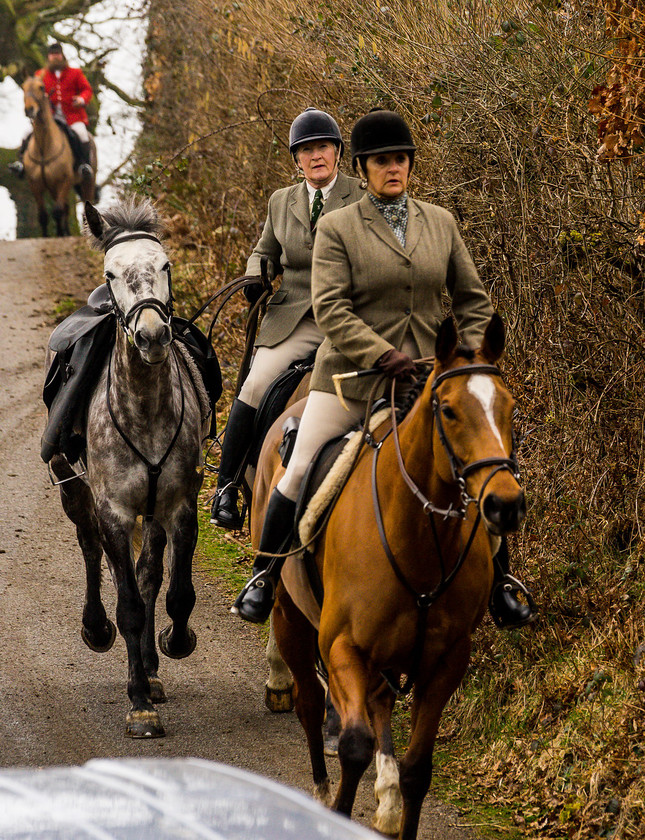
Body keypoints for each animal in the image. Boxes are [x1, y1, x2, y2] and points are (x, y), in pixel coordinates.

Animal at [21, 75, 96, 236]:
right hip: (54, 188)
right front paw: (46, 237)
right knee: (66, 209)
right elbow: (43, 215)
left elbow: (57, 211)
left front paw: (60, 234)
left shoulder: (64, 180)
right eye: (23, 87)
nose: (29, 109)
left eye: (41, 87)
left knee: (84, 209)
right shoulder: (35, 184)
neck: (44, 148)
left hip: (87, 182)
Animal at [48, 200, 209, 740]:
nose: (153, 336)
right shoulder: (115, 512)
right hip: (74, 490)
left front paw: (172, 647)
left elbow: (174, 592)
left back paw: (154, 673)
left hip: (153, 512)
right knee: (90, 549)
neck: (143, 406)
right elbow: (130, 606)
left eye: (166, 265)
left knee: (149, 573)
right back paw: (97, 628)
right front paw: (139, 705)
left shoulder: (179, 507)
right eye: (110, 273)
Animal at [249, 316, 524, 840]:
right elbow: (353, 745)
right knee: (310, 703)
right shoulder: (344, 647)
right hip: (291, 616)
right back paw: (322, 791)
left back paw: (389, 800)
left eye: (509, 407)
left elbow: (419, 767)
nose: (506, 504)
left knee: (377, 706)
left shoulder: (445, 662)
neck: (420, 537)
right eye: (448, 410)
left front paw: (398, 798)